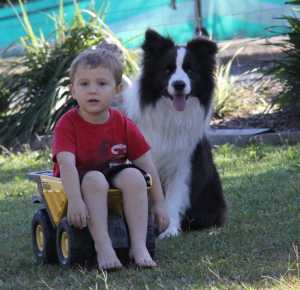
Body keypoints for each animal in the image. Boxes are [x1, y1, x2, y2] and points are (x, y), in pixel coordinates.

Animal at [123, 29, 226, 238]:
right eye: (167, 70)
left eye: (190, 70)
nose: (179, 84)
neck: (170, 114)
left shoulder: (183, 164)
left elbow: (173, 198)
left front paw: (169, 230)